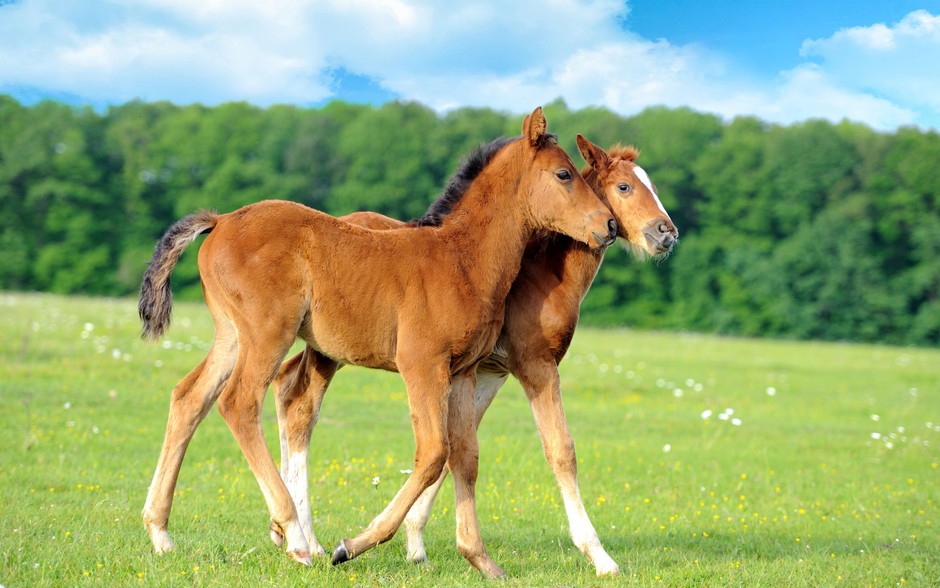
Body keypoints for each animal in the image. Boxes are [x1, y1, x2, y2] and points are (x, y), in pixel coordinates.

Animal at [136, 107, 612, 580]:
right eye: (564, 174)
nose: (607, 224)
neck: (462, 259)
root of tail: (220, 221)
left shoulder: (462, 371)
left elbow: (465, 455)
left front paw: (482, 560)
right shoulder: (422, 364)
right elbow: (433, 452)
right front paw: (352, 545)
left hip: (231, 335)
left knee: (189, 398)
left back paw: (160, 533)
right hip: (268, 333)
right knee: (238, 403)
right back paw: (296, 538)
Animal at [270, 133, 676, 576]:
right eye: (624, 187)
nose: (666, 233)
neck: (541, 275)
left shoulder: (486, 373)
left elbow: (456, 450)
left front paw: (416, 543)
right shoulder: (535, 365)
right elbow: (560, 450)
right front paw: (599, 556)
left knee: (287, 387)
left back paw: (286, 531)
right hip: (330, 351)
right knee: (302, 407)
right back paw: (306, 539)